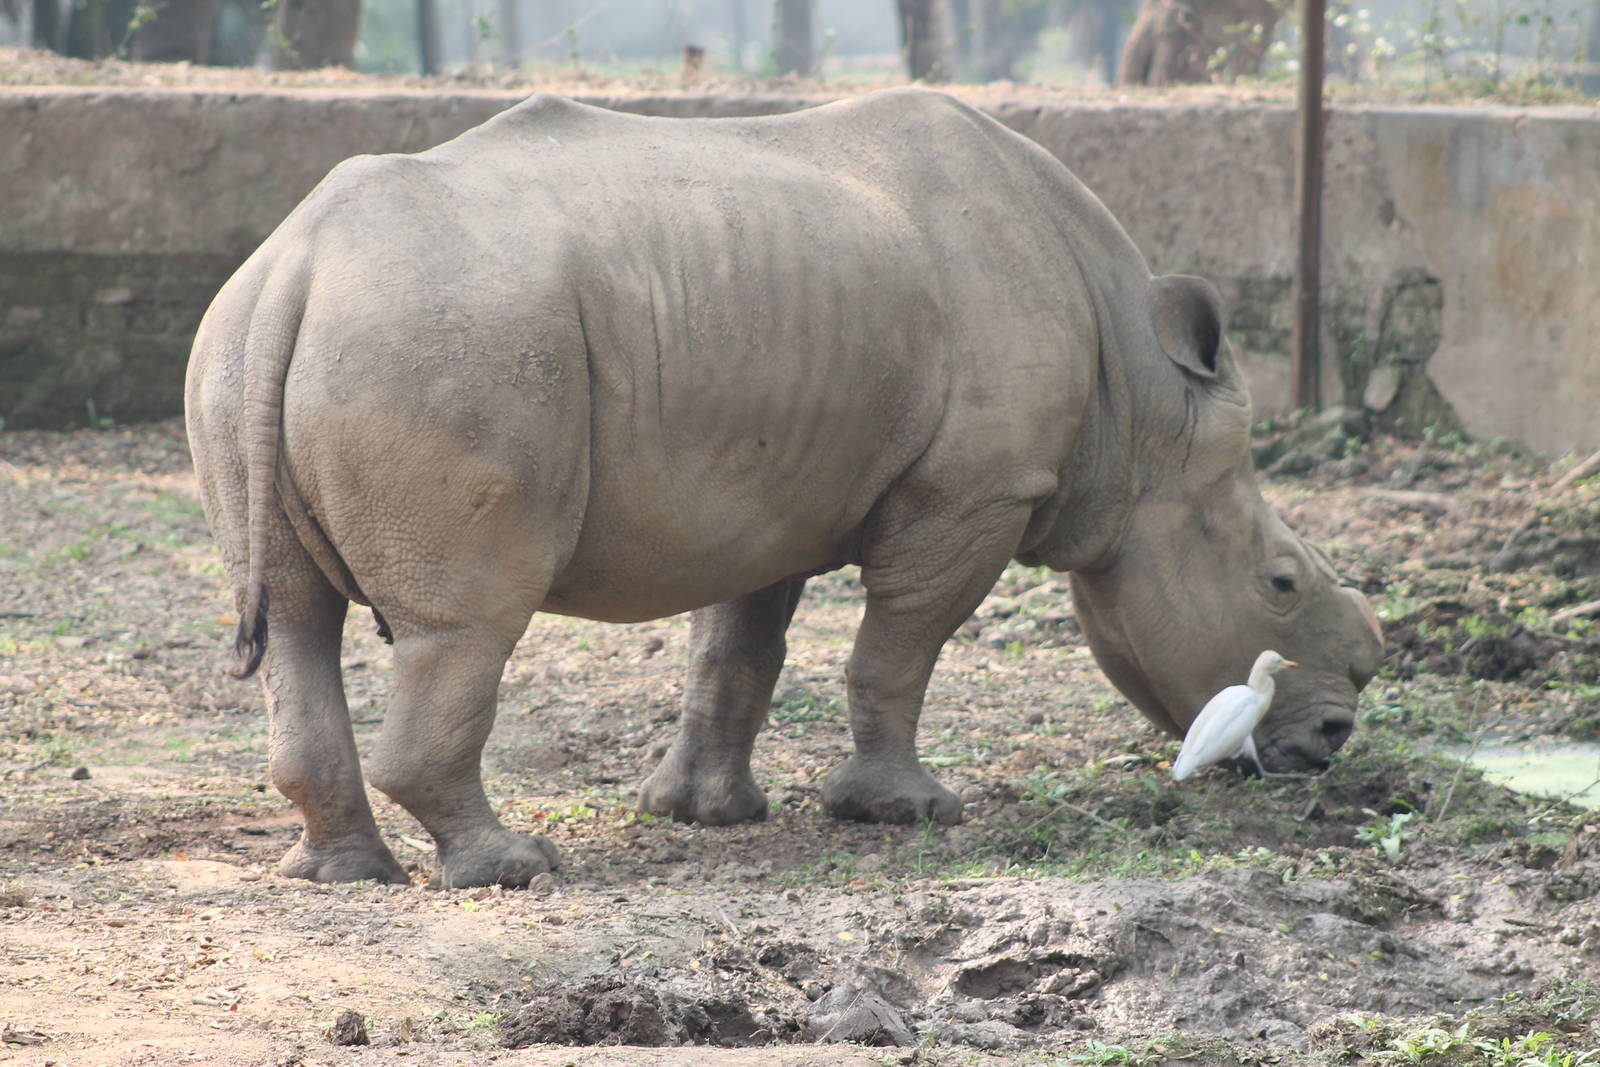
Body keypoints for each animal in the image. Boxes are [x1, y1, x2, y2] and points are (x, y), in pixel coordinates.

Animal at [186, 89, 1383, 889]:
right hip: (444, 342)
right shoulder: (974, 492)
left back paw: (343, 874)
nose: (1332, 738)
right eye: (1279, 583)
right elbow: (898, 648)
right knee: (469, 622)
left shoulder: (764, 489)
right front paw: (904, 812)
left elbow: (738, 648)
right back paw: (513, 867)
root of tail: (300, 264)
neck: (1138, 408)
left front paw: (706, 814)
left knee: (298, 619)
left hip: (247, 347)